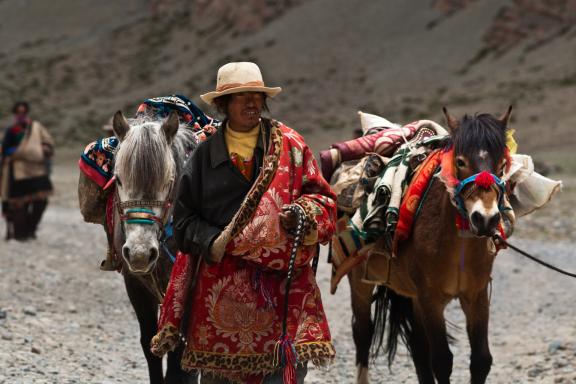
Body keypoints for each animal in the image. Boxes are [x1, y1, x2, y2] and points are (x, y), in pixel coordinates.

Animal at [346, 106, 512, 384]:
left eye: (501, 165)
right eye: (460, 161)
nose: (485, 219)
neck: (458, 248)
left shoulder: (475, 296)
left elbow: (481, 360)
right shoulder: (430, 299)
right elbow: (442, 361)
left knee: (417, 346)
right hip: (359, 283)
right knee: (362, 334)